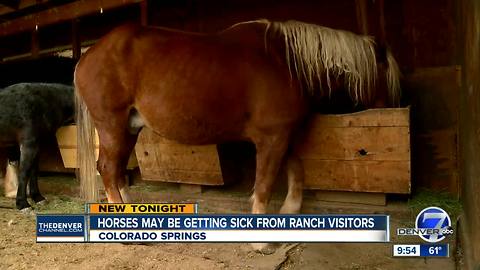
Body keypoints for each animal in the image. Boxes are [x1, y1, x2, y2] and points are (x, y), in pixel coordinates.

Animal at [0, 83, 74, 211]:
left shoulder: (36, 145)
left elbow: (34, 171)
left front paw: (38, 197)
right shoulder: (28, 144)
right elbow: (24, 172)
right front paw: (23, 204)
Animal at [73, 20, 400, 250]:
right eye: (387, 73)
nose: (394, 106)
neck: (286, 62)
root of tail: (87, 57)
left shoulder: (284, 135)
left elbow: (296, 169)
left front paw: (290, 211)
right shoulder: (271, 138)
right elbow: (265, 184)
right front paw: (261, 241)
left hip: (128, 128)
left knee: (116, 172)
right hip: (112, 125)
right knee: (108, 169)